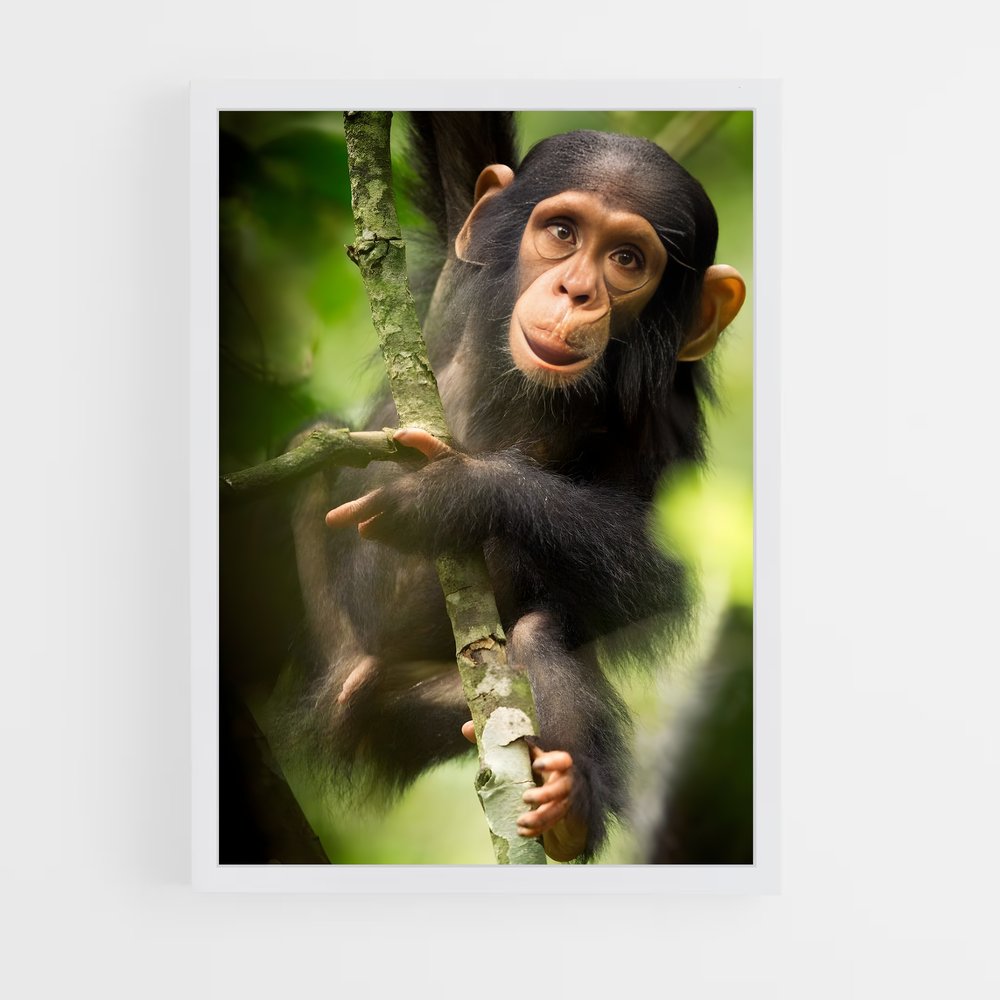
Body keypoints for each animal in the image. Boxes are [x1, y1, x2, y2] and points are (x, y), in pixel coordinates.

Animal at [278, 113, 746, 862]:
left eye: (627, 260)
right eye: (561, 233)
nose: (576, 291)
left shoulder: (662, 424)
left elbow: (658, 568)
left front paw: (455, 493)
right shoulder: (458, 255)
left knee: (535, 638)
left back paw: (568, 804)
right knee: (311, 445)